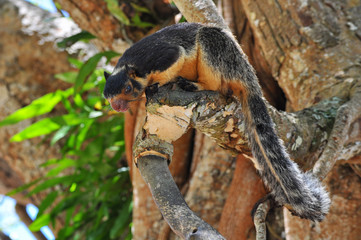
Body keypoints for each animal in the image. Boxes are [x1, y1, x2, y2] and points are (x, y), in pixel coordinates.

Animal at [102, 22, 330, 221]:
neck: (132, 67)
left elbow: (173, 59)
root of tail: (249, 77)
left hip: (220, 53)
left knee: (218, 83)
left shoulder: (164, 57)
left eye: (128, 89)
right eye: (107, 98)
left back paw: (194, 85)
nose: (118, 106)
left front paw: (154, 88)